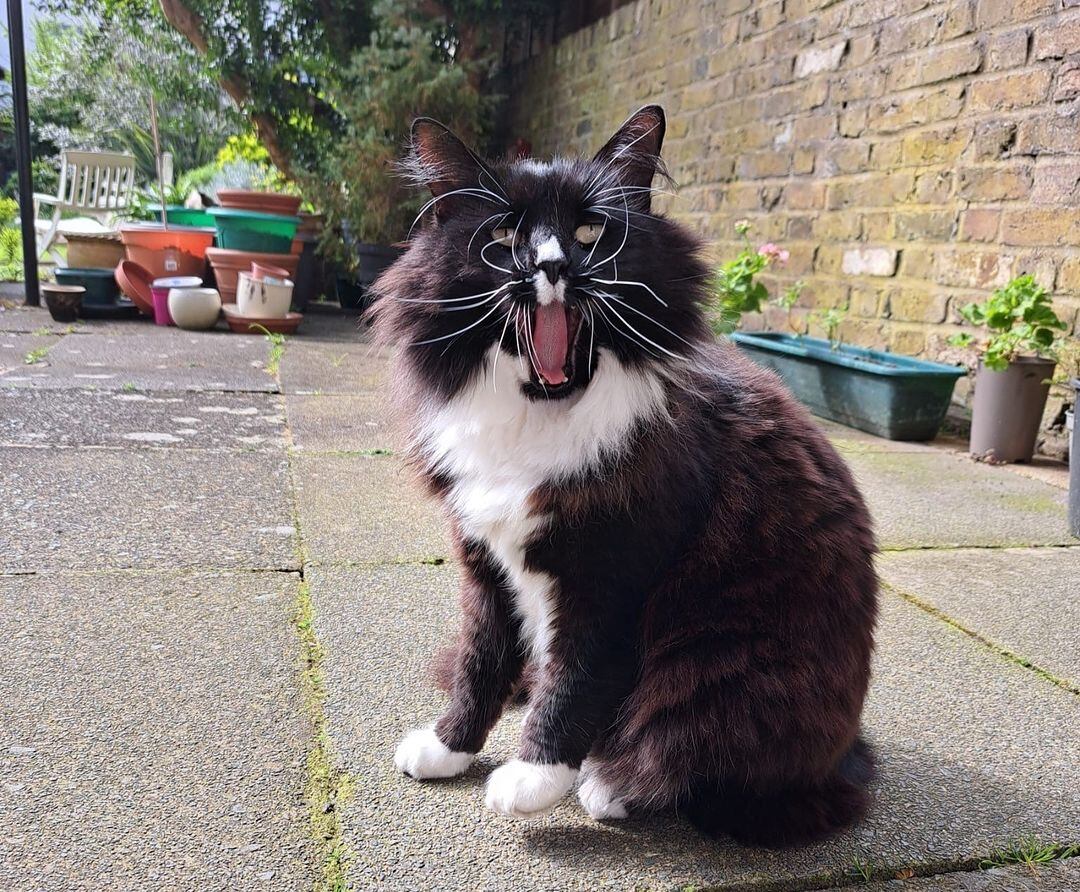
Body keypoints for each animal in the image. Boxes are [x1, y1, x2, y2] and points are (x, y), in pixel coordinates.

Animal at [371, 102, 876, 842]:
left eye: (590, 231)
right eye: (503, 235)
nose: (553, 265)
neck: (542, 417)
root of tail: (846, 758)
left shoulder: (613, 575)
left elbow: (575, 681)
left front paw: (531, 778)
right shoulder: (484, 562)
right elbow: (479, 662)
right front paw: (447, 747)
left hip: (720, 672)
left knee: (699, 765)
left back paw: (609, 783)